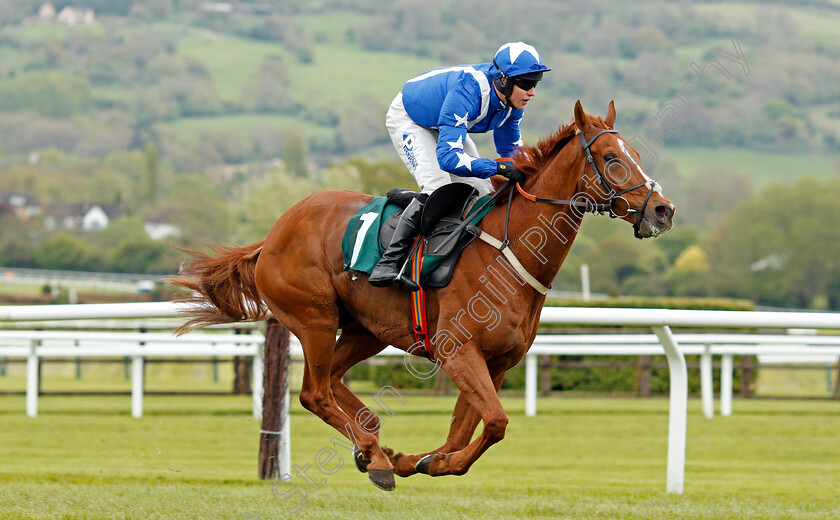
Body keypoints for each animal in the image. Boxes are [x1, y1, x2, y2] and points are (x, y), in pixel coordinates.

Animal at [169, 100, 676, 492]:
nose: (663, 210)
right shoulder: (458, 351)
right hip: (314, 319)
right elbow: (496, 422)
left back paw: (374, 444)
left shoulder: (496, 363)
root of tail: (273, 234)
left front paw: (421, 460)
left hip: (367, 330)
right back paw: (373, 456)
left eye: (632, 153)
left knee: (333, 381)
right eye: (611, 158)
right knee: (314, 392)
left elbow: (465, 432)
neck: (507, 252)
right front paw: (418, 461)